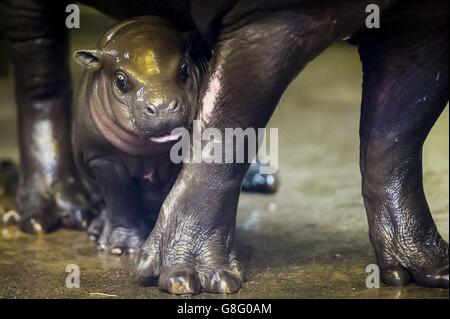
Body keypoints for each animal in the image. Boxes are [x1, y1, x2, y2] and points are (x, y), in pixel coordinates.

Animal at [72, 16, 276, 255]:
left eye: (184, 69)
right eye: (120, 81)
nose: (162, 107)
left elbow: (169, 192)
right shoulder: (102, 157)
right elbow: (119, 197)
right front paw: (121, 248)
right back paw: (96, 229)